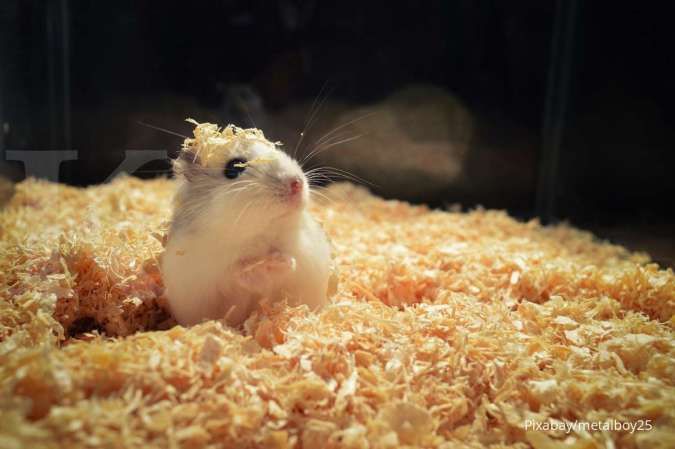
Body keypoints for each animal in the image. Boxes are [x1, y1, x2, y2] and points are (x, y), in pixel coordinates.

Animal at [161, 119, 334, 327]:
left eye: (276, 150)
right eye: (234, 168)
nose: (297, 183)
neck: (257, 234)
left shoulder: (304, 255)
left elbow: (290, 263)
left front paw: (282, 261)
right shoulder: (212, 272)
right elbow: (238, 274)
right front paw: (264, 266)